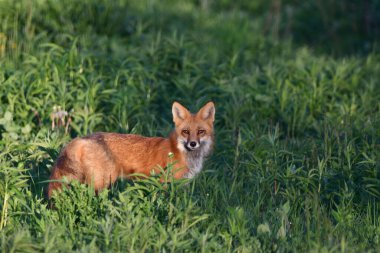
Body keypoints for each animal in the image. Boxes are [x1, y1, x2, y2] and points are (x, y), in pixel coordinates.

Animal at [47, 101, 214, 198]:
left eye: (201, 132)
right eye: (186, 132)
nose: (193, 144)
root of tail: (81, 138)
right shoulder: (165, 183)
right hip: (102, 182)